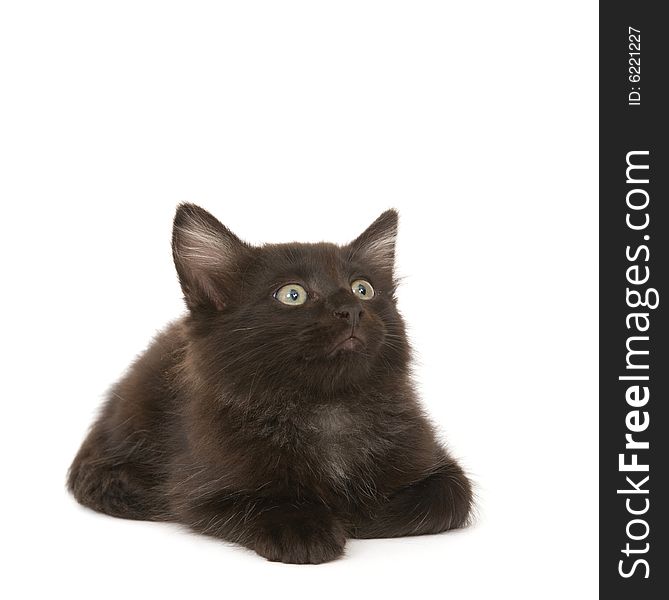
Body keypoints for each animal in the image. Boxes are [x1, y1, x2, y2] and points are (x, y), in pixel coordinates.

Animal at [68, 205, 470, 564]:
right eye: (293, 294)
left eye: (363, 289)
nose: (352, 310)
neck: (327, 405)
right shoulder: (199, 485)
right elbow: (258, 503)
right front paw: (305, 529)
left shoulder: (436, 462)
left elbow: (449, 498)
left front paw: (360, 514)